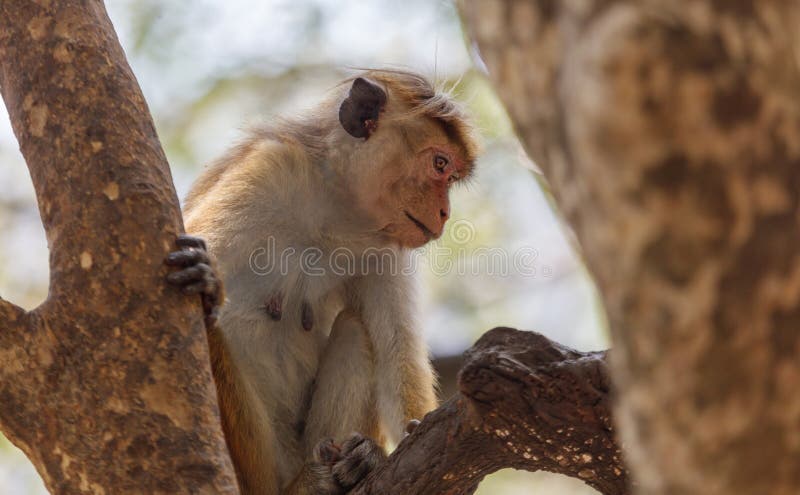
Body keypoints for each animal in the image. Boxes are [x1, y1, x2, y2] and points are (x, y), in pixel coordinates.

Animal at [165, 70, 478, 494]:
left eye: (452, 174)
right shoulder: (271, 168)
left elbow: (396, 349)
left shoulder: (385, 249)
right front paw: (204, 277)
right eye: (439, 163)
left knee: (356, 330)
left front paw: (397, 442)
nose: (445, 213)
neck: (334, 208)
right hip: (256, 464)